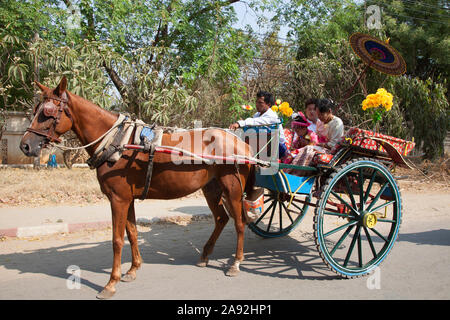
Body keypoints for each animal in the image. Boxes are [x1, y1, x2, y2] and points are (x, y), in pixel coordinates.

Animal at [19, 76, 255, 298]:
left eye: (48, 112)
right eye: (35, 109)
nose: (25, 145)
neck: (116, 142)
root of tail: (240, 142)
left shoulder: (118, 199)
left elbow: (116, 240)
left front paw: (110, 283)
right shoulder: (127, 199)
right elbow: (132, 233)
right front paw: (132, 270)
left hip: (232, 188)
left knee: (239, 223)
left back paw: (236, 262)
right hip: (211, 188)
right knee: (221, 218)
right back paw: (205, 255)